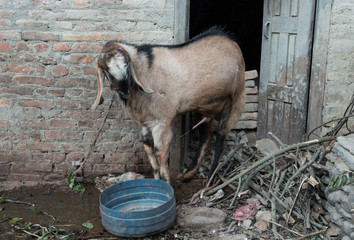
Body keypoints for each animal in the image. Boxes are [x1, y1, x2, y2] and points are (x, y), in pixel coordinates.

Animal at [91, 27, 246, 183]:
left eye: (126, 66)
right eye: (107, 72)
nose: (124, 91)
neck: (144, 70)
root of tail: (232, 43)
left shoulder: (162, 121)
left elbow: (160, 151)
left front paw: (166, 183)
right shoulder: (146, 122)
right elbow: (148, 149)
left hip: (234, 100)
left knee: (220, 139)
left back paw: (210, 179)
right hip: (203, 107)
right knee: (205, 138)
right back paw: (187, 174)